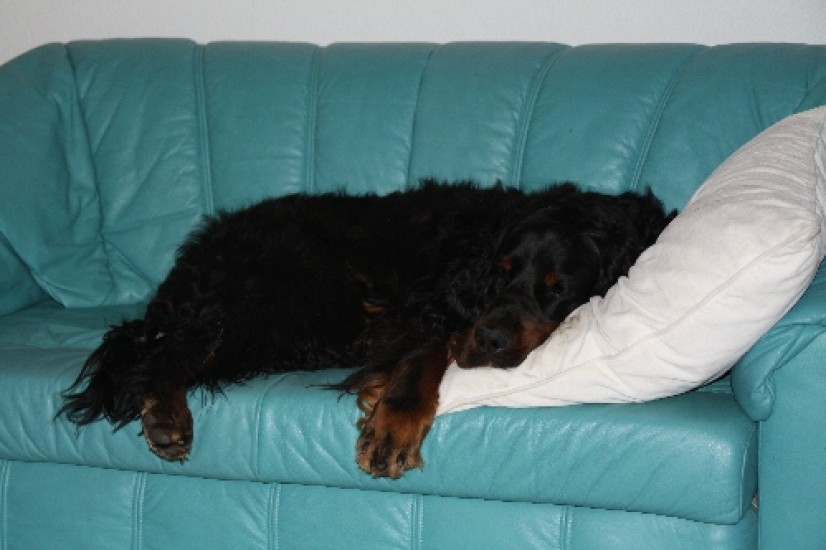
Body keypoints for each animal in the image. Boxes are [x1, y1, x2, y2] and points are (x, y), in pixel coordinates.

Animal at [61, 181, 674, 478]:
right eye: (502, 273)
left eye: (557, 287)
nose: (490, 342)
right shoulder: (428, 307)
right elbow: (427, 351)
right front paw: (394, 423)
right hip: (280, 296)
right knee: (169, 350)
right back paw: (165, 411)